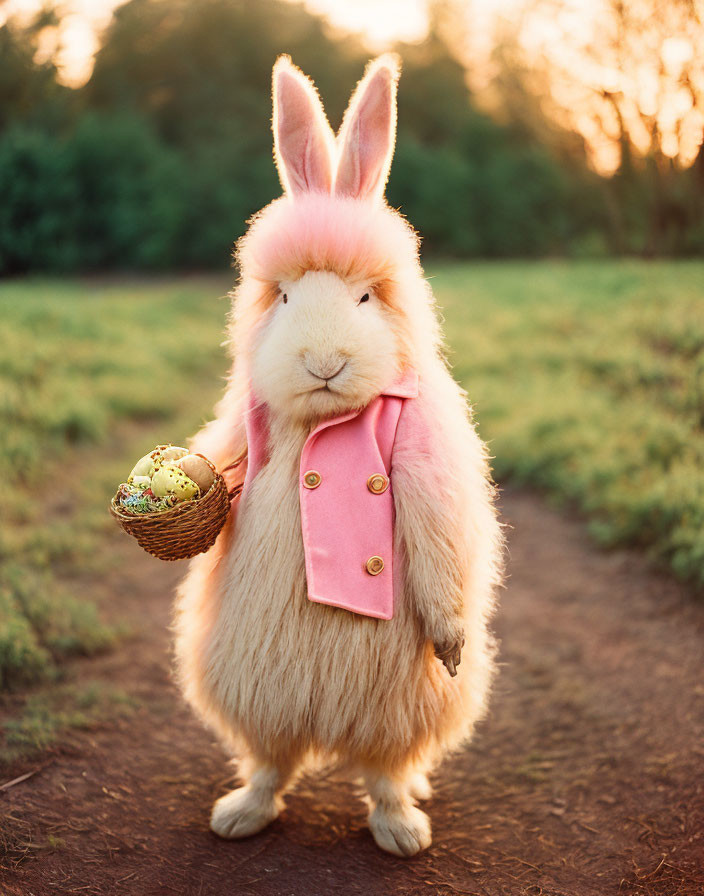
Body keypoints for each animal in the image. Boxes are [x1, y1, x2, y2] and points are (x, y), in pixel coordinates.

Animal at [177, 52, 506, 856]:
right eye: (285, 298)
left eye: (364, 299)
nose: (323, 362)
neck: (327, 419)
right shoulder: (245, 432)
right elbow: (224, 470)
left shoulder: (423, 453)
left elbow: (438, 533)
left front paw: (451, 639)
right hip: (261, 687)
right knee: (272, 755)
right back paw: (242, 813)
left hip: (402, 704)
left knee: (386, 765)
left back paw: (402, 828)